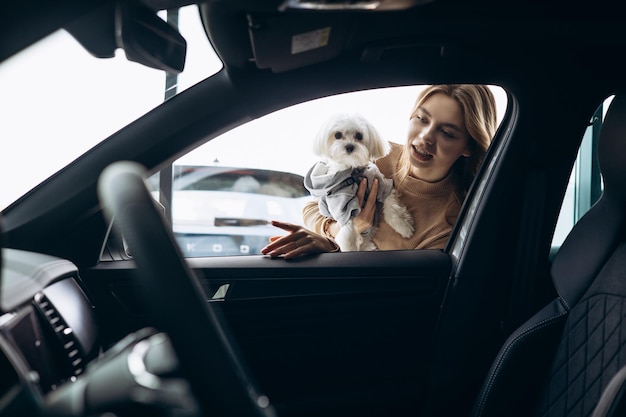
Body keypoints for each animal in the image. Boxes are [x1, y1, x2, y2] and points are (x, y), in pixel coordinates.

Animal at [304, 112, 414, 250]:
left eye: (359, 136)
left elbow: (392, 206)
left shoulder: (380, 183)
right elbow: (348, 229)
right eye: (337, 135)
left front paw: (403, 226)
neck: (353, 172)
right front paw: (349, 246)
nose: (349, 146)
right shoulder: (343, 205)